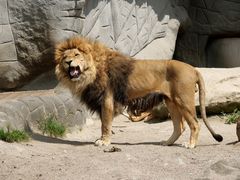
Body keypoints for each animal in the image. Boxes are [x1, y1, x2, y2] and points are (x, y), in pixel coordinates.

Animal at [54, 36, 223, 148]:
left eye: (76, 55)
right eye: (65, 56)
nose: (68, 62)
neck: (91, 72)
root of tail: (193, 68)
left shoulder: (107, 101)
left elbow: (105, 124)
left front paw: (104, 142)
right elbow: (104, 123)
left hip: (183, 100)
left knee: (195, 124)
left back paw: (190, 145)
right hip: (171, 102)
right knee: (179, 126)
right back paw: (166, 143)